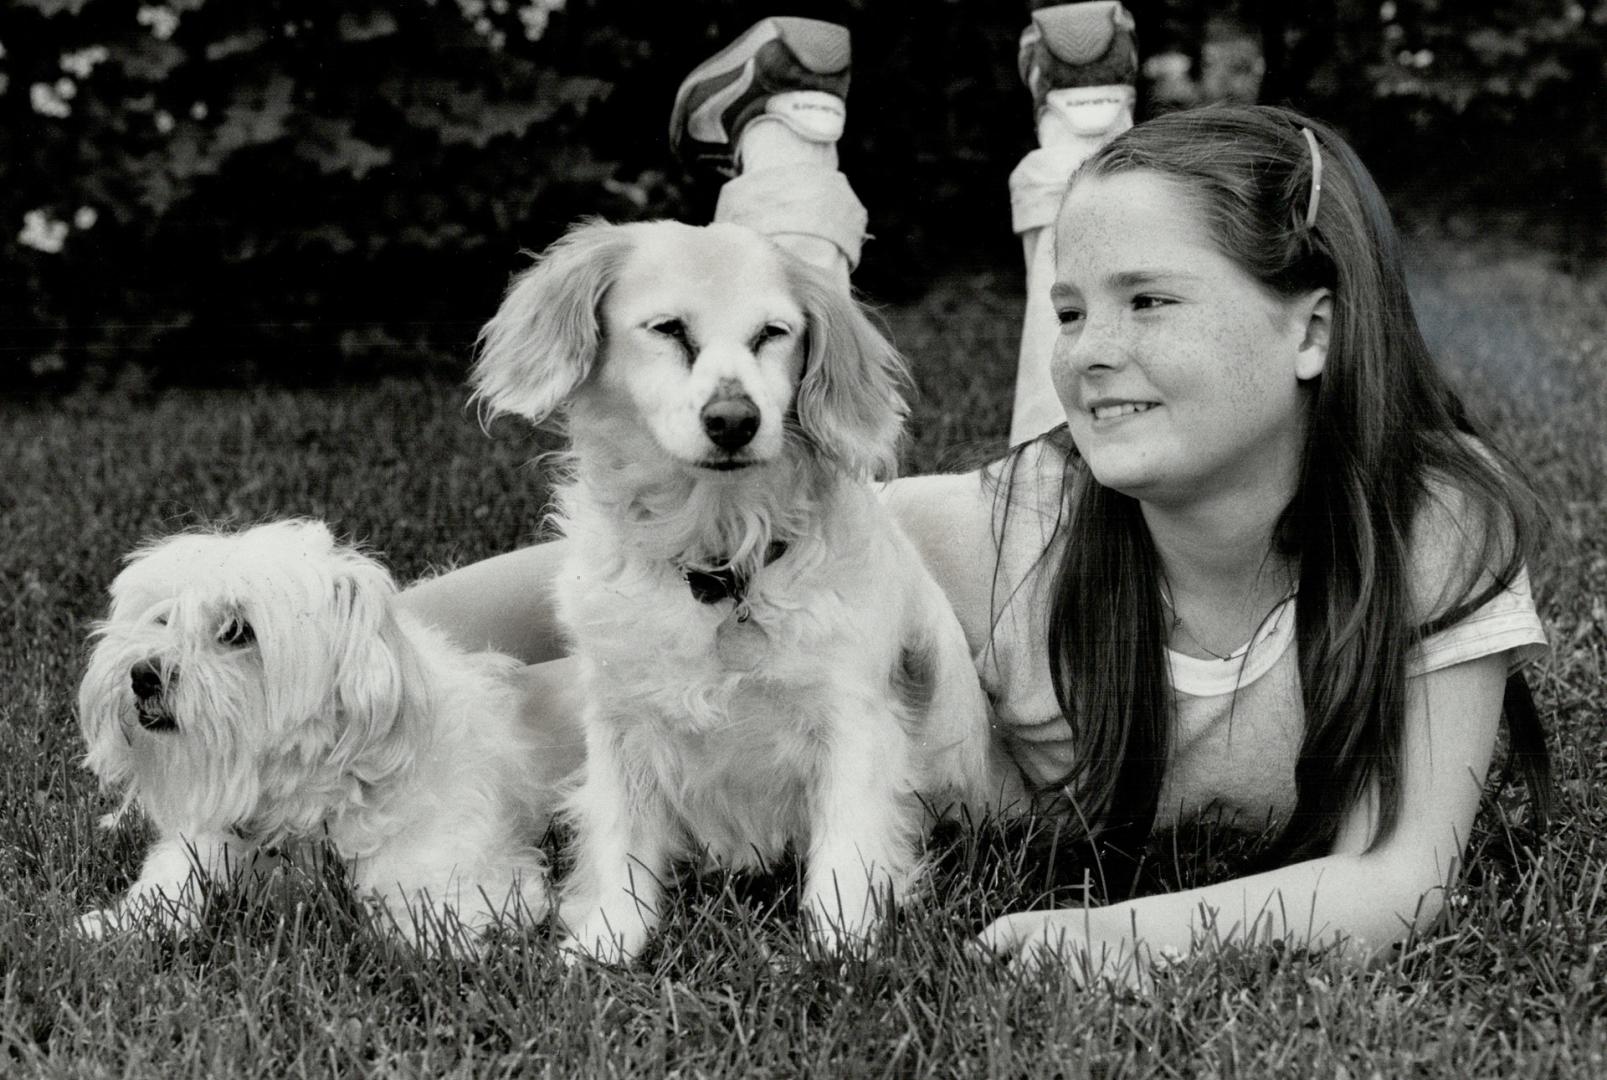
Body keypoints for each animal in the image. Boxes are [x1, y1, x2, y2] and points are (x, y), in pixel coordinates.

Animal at [76, 517, 552, 951]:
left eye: (237, 630)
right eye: (162, 619)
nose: (141, 675)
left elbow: (429, 915)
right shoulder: (203, 849)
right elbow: (169, 885)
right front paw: (116, 924)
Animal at [469, 218, 1015, 964]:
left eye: (772, 334)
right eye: (670, 329)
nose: (734, 419)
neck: (719, 563)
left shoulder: (852, 721)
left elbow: (845, 851)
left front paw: (839, 948)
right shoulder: (620, 721)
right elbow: (618, 843)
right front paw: (606, 941)